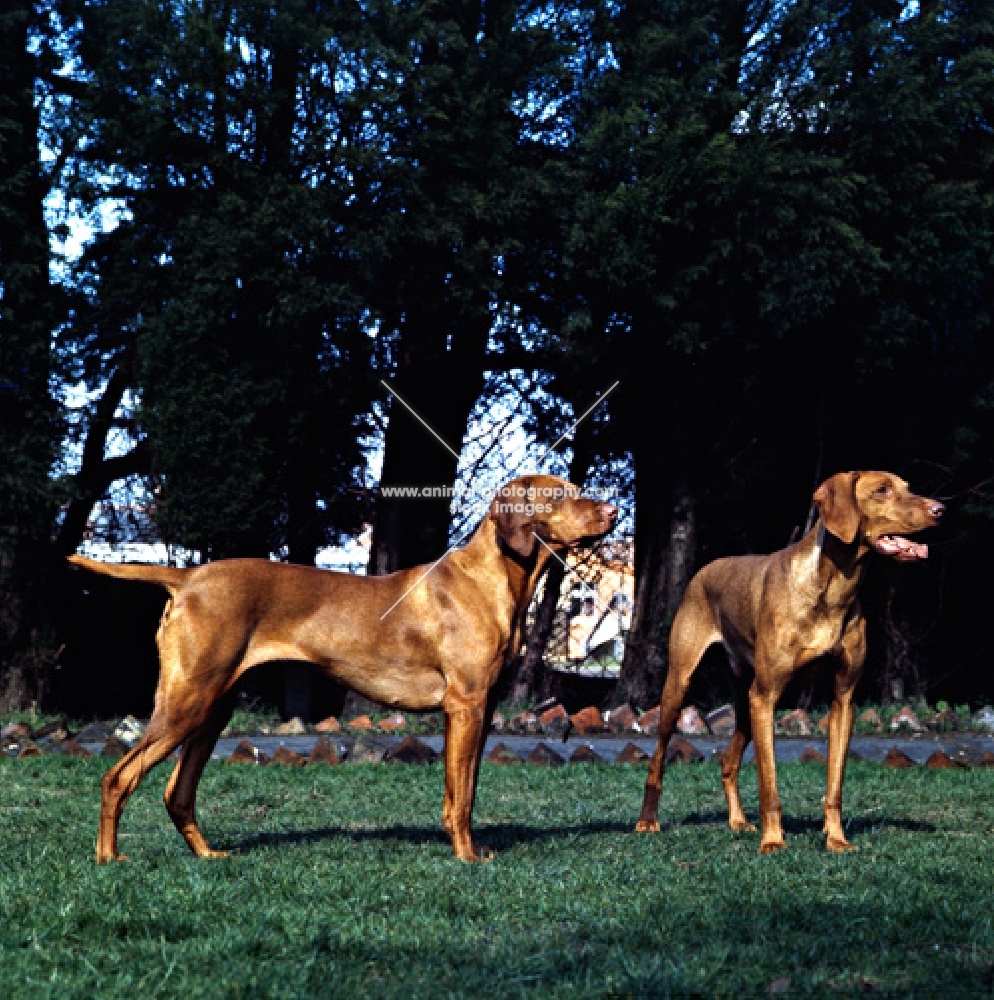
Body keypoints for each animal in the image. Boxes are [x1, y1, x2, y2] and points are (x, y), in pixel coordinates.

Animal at [68, 474, 612, 860]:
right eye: (560, 495)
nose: (614, 509)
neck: (493, 577)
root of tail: (188, 576)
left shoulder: (483, 707)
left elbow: (466, 788)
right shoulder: (466, 704)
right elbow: (461, 798)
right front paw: (467, 858)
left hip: (212, 709)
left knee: (176, 793)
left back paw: (208, 855)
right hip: (187, 701)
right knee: (118, 776)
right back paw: (109, 859)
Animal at [632, 468, 940, 852]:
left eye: (907, 488)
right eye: (882, 490)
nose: (940, 509)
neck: (833, 589)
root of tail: (704, 570)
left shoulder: (843, 700)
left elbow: (834, 784)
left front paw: (836, 839)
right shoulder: (766, 697)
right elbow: (770, 784)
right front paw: (773, 841)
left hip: (745, 701)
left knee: (728, 762)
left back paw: (738, 821)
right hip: (682, 686)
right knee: (658, 758)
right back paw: (647, 821)